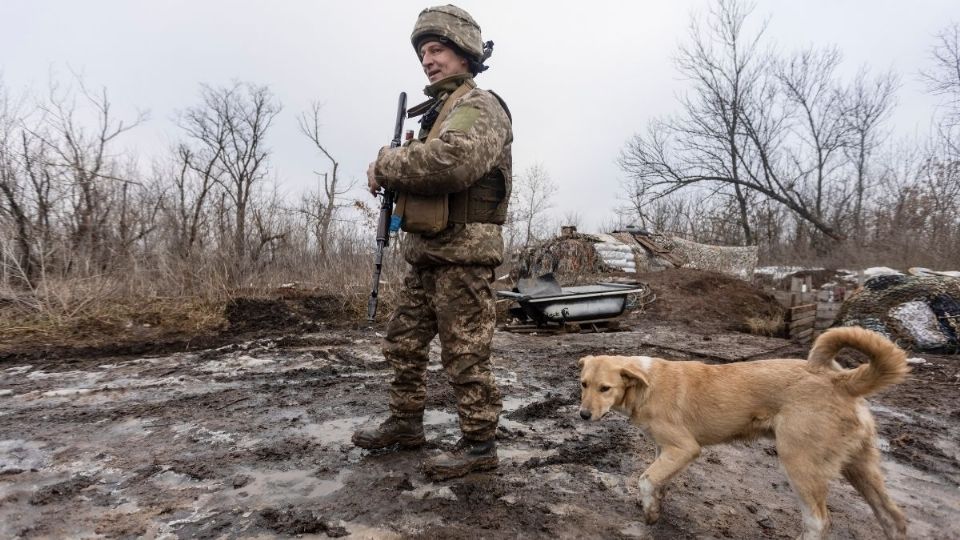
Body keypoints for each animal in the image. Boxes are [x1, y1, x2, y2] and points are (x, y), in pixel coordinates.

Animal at [576, 326, 908, 536]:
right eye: (583, 384)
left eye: (605, 388)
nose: (583, 414)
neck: (645, 384)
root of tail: (841, 380)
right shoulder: (665, 450)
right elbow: (657, 481)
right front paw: (656, 508)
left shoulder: (685, 448)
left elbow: (645, 479)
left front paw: (649, 512)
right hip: (860, 467)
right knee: (894, 519)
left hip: (800, 464)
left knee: (818, 522)